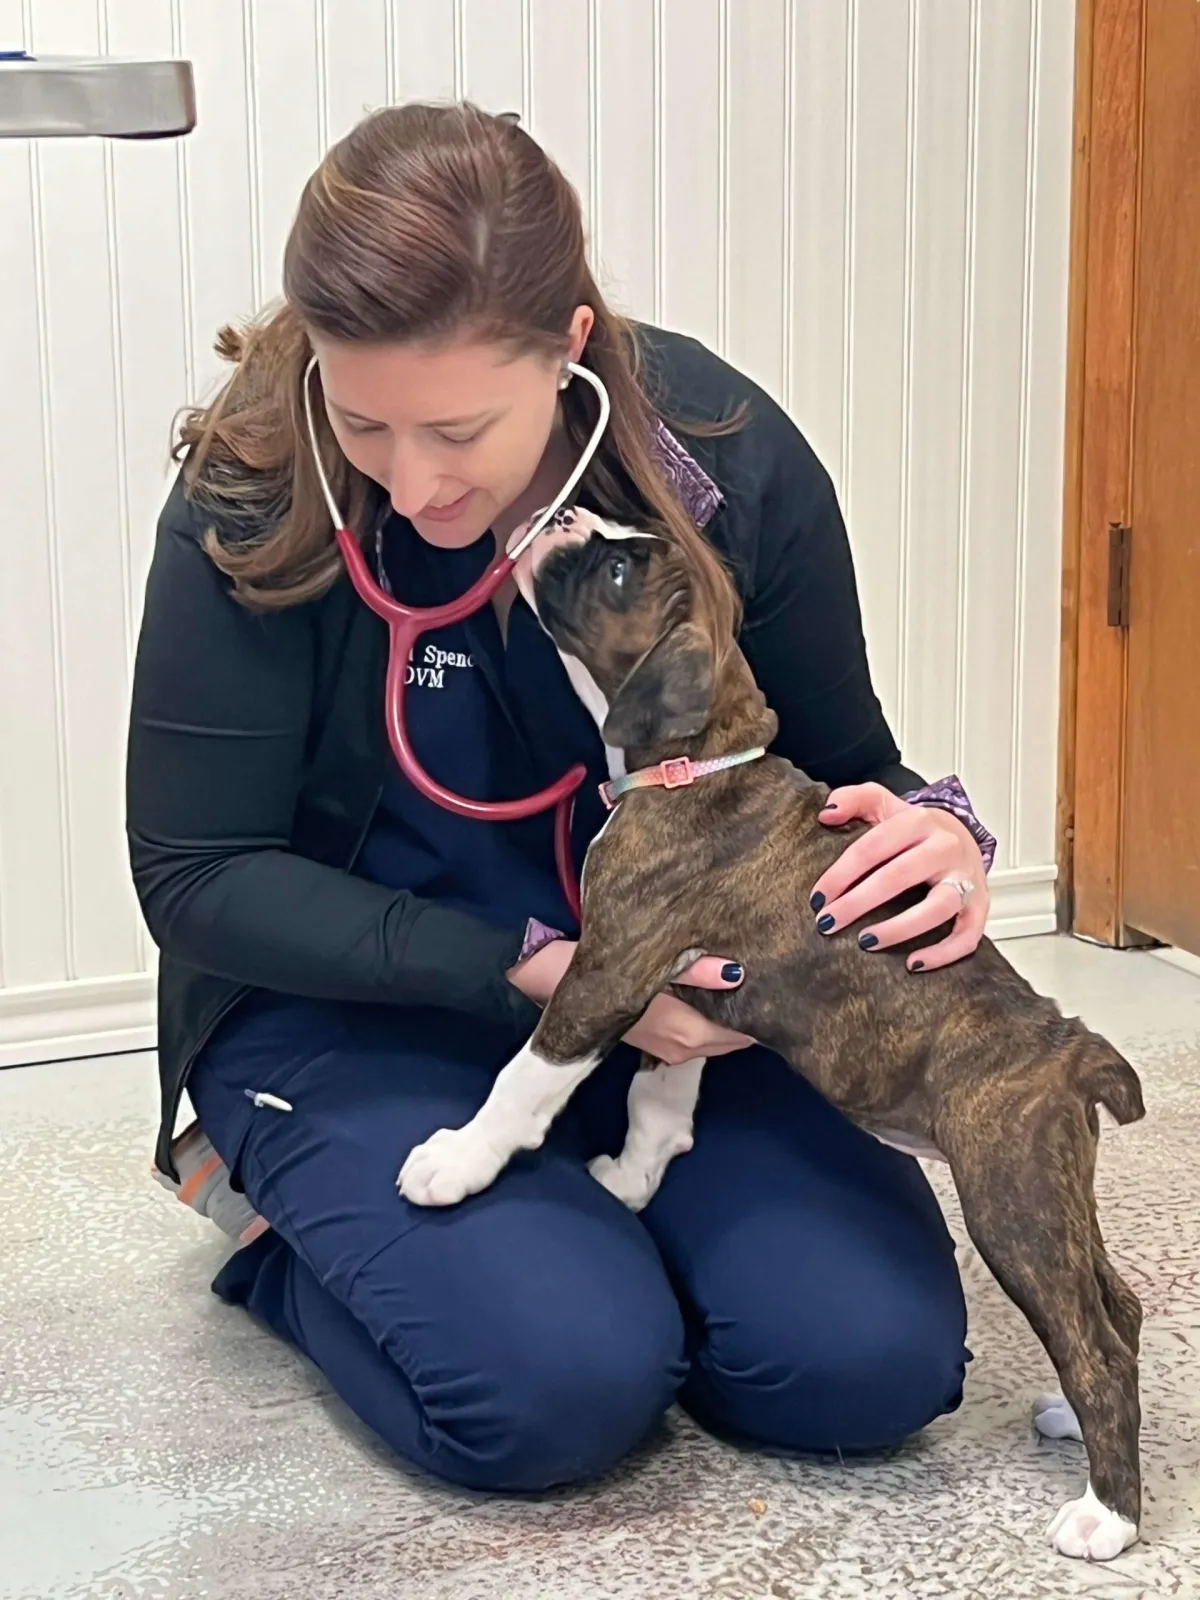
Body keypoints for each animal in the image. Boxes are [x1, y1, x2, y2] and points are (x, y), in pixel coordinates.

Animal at [398, 508, 1146, 1562]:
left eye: (618, 569)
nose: (564, 517)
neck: (700, 756)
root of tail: (1071, 1046)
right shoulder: (678, 987)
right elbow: (657, 1094)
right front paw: (633, 1178)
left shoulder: (609, 967)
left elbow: (528, 1078)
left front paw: (456, 1163)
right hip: (1058, 1198)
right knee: (1115, 1313)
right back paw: (1077, 1435)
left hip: (1014, 1204)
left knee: (1096, 1350)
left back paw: (1106, 1516)